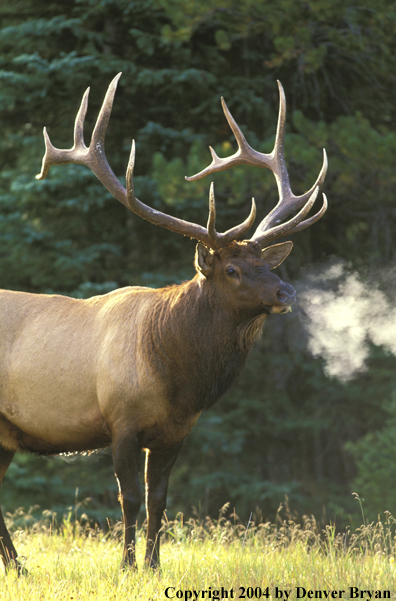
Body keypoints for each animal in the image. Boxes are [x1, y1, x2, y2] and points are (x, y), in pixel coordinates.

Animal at [0, 75, 328, 572]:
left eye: (265, 263)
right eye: (232, 269)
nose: (285, 293)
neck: (177, 379)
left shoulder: (176, 432)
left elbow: (160, 501)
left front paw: (154, 566)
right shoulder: (120, 420)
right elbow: (129, 499)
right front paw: (125, 567)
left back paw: (17, 566)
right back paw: (18, 566)